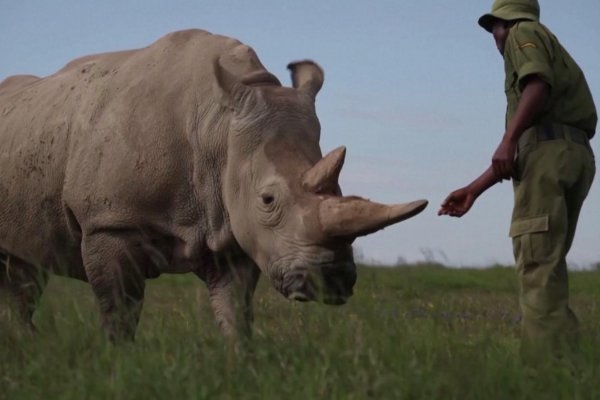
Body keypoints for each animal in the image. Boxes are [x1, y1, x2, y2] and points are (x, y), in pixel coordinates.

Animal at [0, 29, 426, 340]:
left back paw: (28, 345)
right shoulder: (110, 220)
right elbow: (119, 312)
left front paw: (241, 366)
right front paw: (117, 365)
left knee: (23, 271)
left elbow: (236, 312)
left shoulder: (230, 226)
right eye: (267, 199)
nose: (332, 281)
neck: (217, 130)